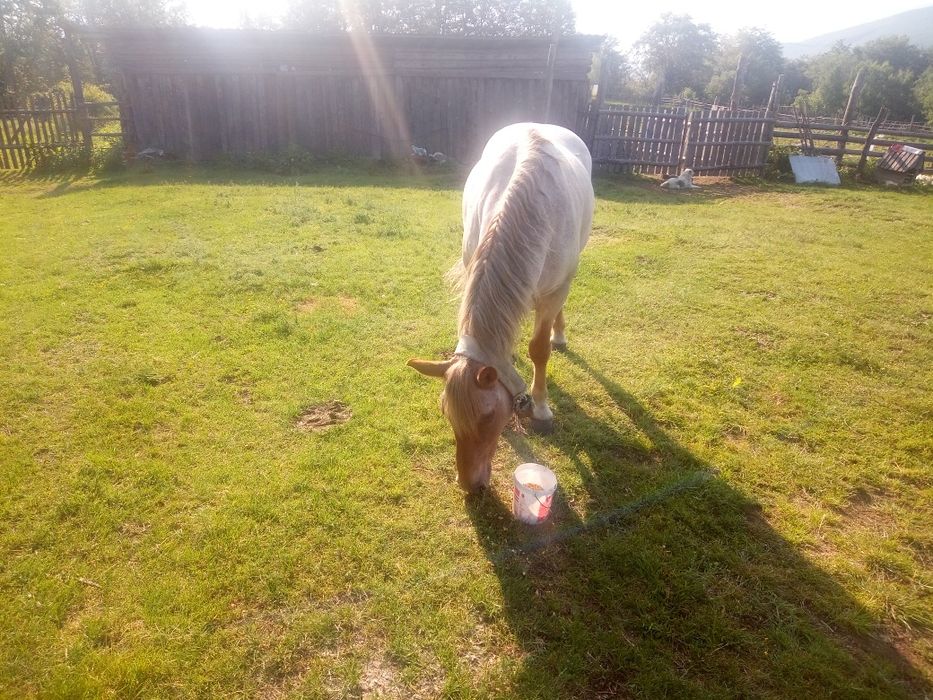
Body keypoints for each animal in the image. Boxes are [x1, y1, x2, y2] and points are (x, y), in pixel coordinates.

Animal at [408, 123, 594, 493]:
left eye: (489, 417)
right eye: (446, 413)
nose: (469, 484)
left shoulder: (554, 291)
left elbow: (539, 349)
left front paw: (541, 409)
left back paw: (559, 336)